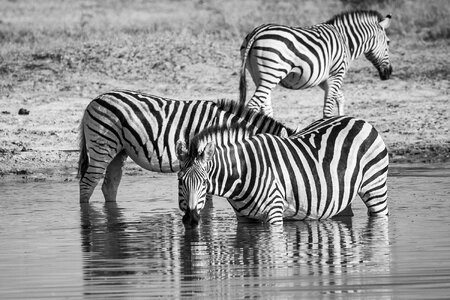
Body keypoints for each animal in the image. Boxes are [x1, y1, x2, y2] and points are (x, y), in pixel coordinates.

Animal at [78, 89, 296, 204]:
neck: (226, 130)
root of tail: (95, 100)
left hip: (120, 150)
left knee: (109, 185)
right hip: (102, 145)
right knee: (87, 183)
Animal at [178, 116, 388, 226]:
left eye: (204, 182)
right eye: (180, 181)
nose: (190, 219)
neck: (244, 170)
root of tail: (359, 120)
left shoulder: (275, 213)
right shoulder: (244, 219)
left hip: (375, 188)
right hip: (340, 195)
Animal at [241, 9, 392, 117]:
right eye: (388, 42)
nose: (389, 73)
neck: (345, 40)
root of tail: (258, 31)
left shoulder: (324, 79)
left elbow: (340, 98)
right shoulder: (337, 73)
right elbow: (328, 108)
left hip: (259, 77)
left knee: (265, 108)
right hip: (271, 76)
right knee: (252, 106)